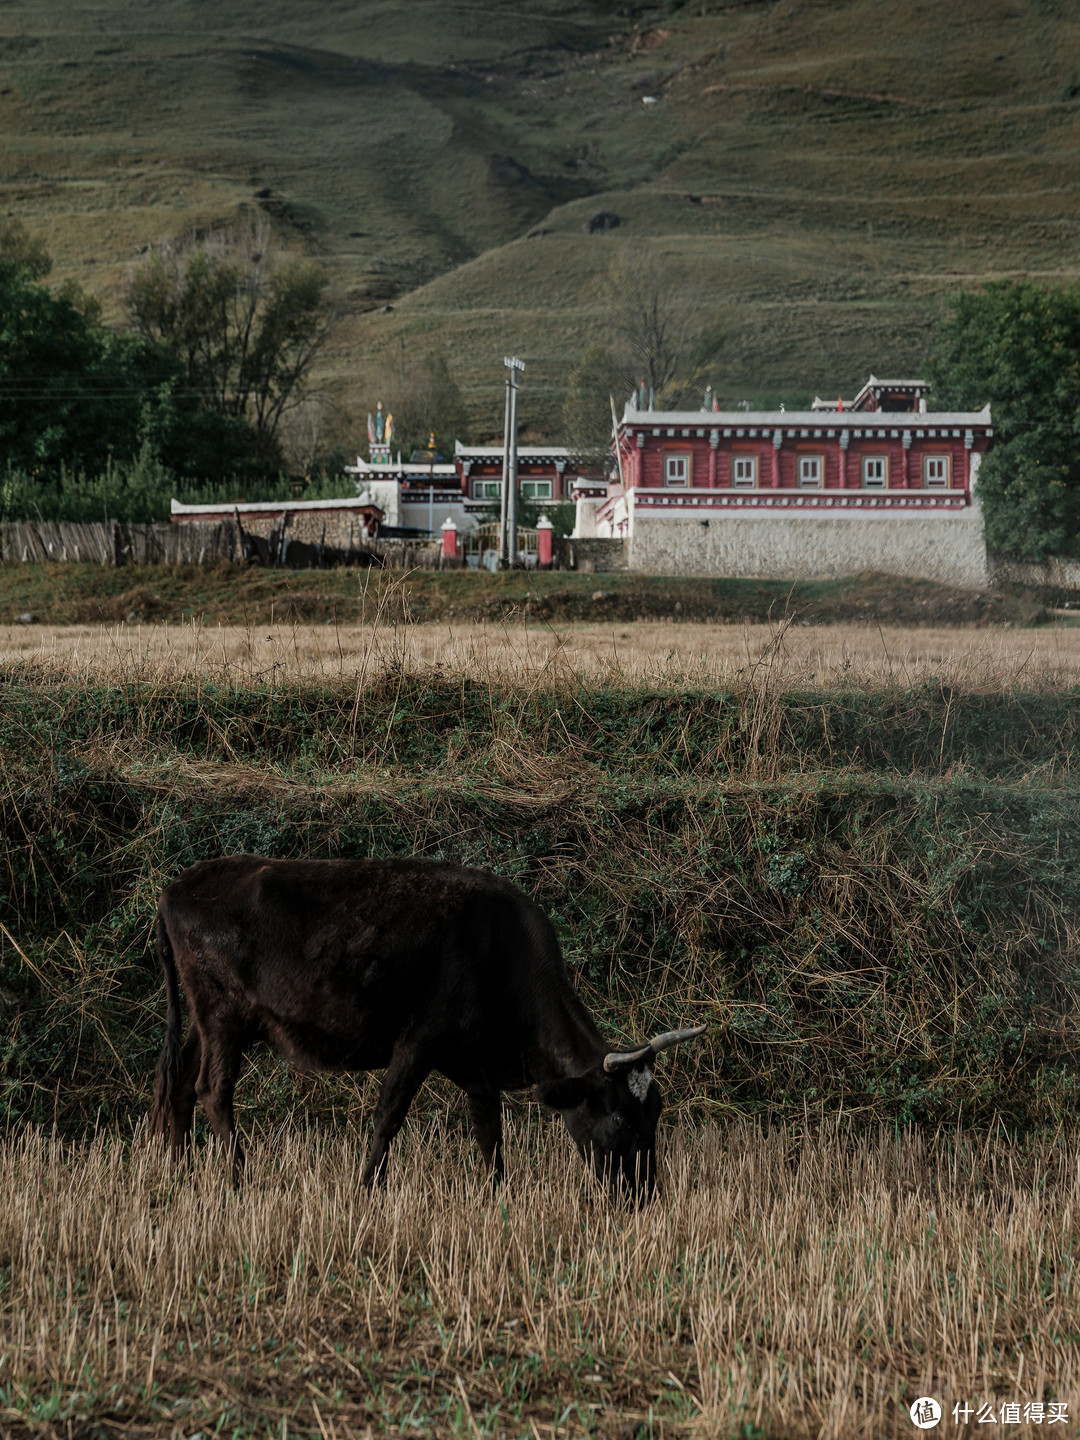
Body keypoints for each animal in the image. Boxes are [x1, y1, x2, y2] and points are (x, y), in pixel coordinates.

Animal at [154, 846, 711, 1198]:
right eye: (619, 1119)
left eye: (655, 1115)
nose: (644, 1196)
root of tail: (177, 885)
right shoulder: (418, 1043)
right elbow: (388, 1119)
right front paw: (365, 1192)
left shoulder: (473, 1064)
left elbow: (489, 1131)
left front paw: (499, 1195)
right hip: (223, 1015)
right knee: (212, 1090)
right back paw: (239, 1180)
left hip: (204, 1022)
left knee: (180, 1084)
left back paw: (177, 1171)